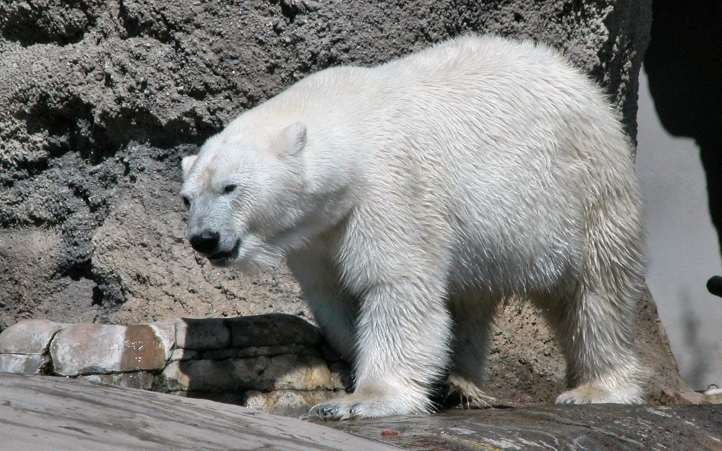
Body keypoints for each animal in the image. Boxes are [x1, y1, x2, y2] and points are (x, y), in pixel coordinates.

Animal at [179, 34, 640, 420]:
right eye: (188, 197)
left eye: (229, 187)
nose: (205, 239)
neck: (350, 122)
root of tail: (583, 84)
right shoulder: (317, 233)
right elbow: (337, 296)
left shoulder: (392, 189)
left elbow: (395, 285)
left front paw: (360, 400)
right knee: (468, 301)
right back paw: (459, 383)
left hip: (583, 190)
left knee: (596, 291)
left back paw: (597, 388)